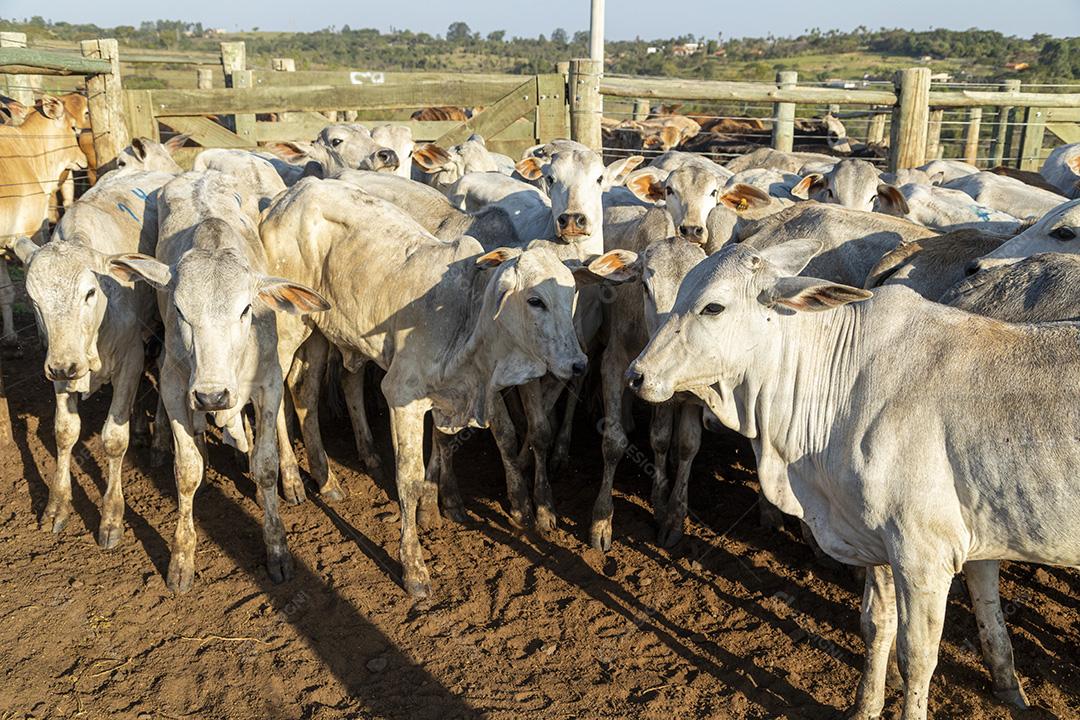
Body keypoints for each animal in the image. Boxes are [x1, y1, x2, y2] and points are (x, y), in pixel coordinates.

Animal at [626, 238, 1078, 720]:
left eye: (713, 307)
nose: (636, 375)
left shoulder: (924, 555)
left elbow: (917, 657)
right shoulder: (883, 540)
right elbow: (880, 624)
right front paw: (867, 706)